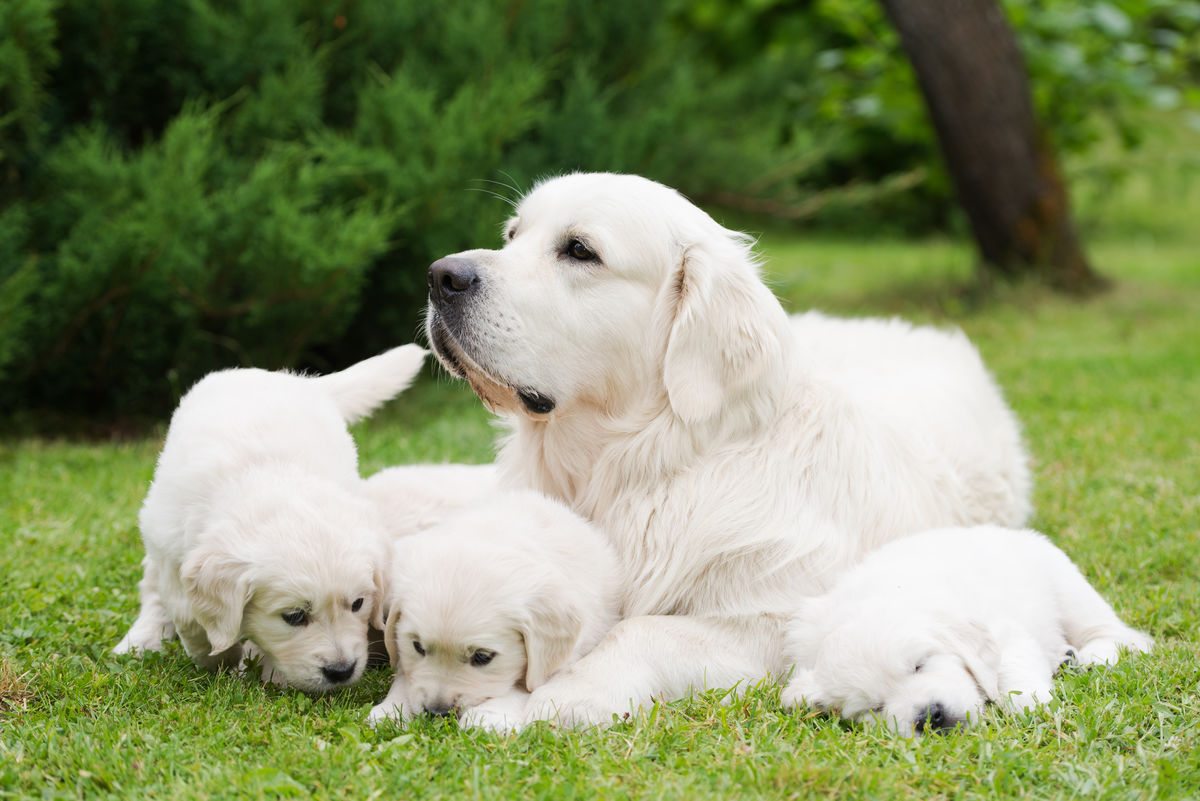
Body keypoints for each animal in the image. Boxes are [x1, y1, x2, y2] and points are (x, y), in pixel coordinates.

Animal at [112, 345, 429, 695]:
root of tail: (290, 378)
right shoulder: (172, 552)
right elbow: (189, 617)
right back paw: (141, 640)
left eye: (358, 604)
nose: (341, 671)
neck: (268, 475)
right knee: (152, 588)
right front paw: (218, 656)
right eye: (293, 617)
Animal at [367, 491, 619, 729]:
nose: (437, 712)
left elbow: (523, 687)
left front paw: (489, 717)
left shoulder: (562, 660)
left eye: (482, 657)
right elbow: (404, 675)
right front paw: (390, 710)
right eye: (418, 647)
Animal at [424, 170, 1032, 724]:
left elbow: (641, 630)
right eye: (512, 235)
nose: (440, 275)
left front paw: (559, 697)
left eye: (579, 250)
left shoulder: (779, 622)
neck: (641, 465)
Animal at [777, 525, 1152, 738]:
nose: (930, 717)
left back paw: (1092, 657)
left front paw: (1033, 706)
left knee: (1123, 635)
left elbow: (1011, 671)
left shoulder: (1004, 631)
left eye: (920, 665)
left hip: (1066, 585)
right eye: (874, 708)